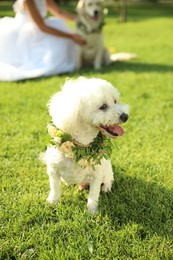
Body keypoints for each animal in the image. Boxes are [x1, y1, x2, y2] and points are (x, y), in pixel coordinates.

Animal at [45, 76, 128, 212]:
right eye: (103, 106)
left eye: (115, 101)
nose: (125, 116)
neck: (79, 147)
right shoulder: (53, 170)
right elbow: (54, 188)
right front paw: (52, 202)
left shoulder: (96, 176)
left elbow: (93, 195)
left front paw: (92, 211)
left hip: (107, 169)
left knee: (108, 179)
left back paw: (106, 188)